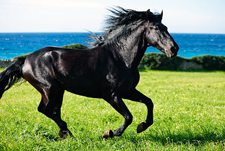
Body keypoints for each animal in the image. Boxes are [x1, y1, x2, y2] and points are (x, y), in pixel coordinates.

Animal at [0, 7, 179, 139]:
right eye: (155, 28)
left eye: (166, 28)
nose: (174, 49)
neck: (121, 57)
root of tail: (26, 60)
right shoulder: (111, 95)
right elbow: (129, 116)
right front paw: (110, 133)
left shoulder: (128, 91)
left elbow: (149, 102)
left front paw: (142, 126)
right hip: (48, 88)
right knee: (45, 109)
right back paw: (68, 132)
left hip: (59, 90)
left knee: (54, 110)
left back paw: (65, 133)